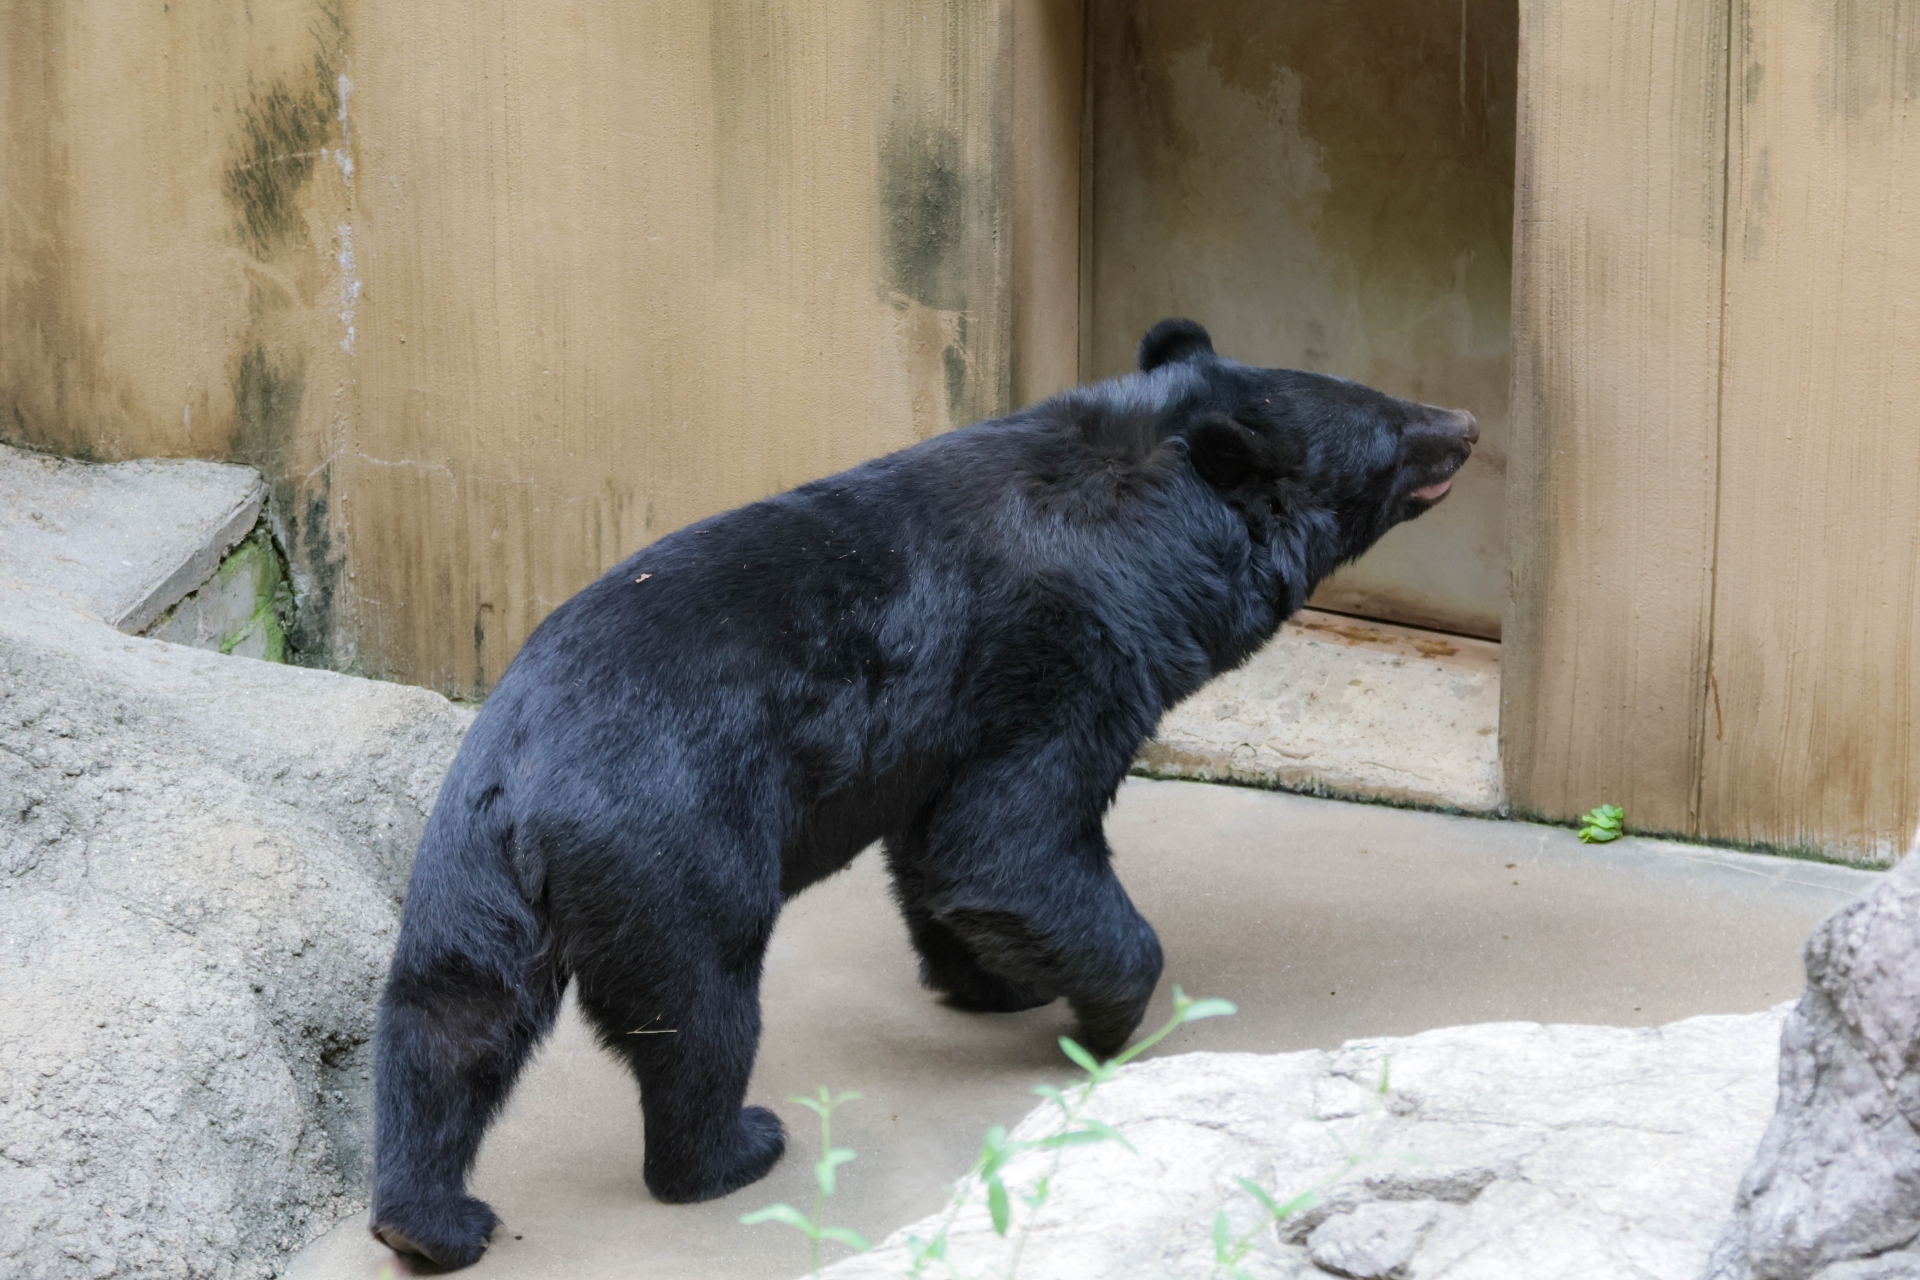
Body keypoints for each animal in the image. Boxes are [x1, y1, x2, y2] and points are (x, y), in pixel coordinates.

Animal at [368, 318, 1477, 1267]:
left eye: (1383, 397)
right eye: (1390, 432)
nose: (1465, 423)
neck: (1143, 507)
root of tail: (529, 791)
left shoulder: (939, 728)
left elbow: (938, 850)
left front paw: (994, 979)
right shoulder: (1061, 657)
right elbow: (1007, 838)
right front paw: (1107, 1022)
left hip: (468, 876)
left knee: (449, 1019)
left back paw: (428, 1220)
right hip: (676, 844)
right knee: (698, 1009)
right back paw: (733, 1147)